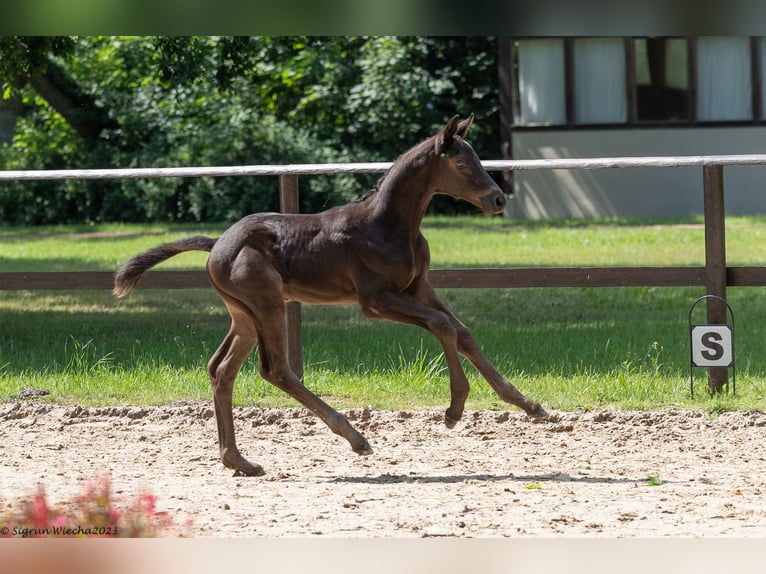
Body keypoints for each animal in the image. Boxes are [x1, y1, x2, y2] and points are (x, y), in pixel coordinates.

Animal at [114, 113, 548, 476]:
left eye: (476, 158)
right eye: (460, 164)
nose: (497, 199)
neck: (388, 226)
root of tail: (217, 244)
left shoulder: (418, 285)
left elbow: (463, 332)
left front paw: (529, 405)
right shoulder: (375, 300)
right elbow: (443, 325)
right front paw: (455, 408)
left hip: (245, 315)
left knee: (221, 369)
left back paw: (239, 461)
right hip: (268, 304)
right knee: (275, 369)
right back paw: (354, 437)